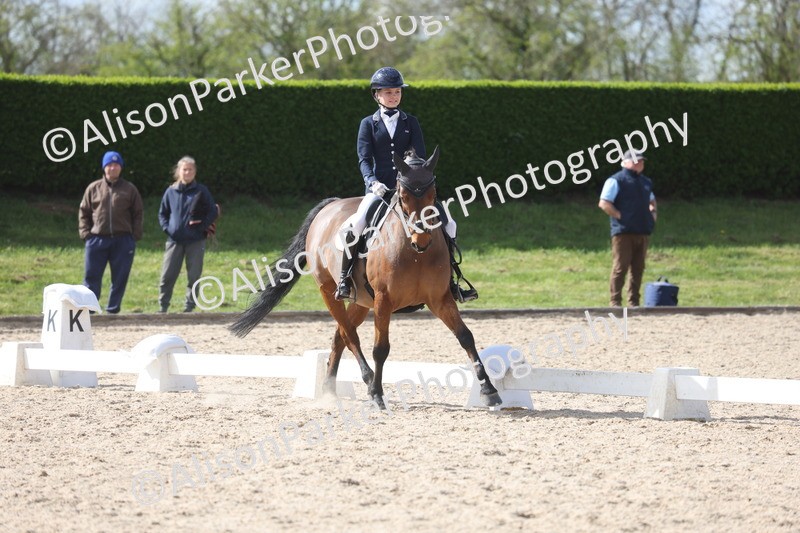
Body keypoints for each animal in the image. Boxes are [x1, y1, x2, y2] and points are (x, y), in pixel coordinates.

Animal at [229, 146, 502, 408]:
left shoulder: (440, 298)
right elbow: (380, 349)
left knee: (340, 336)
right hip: (328, 291)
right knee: (350, 336)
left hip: (360, 300)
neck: (414, 253)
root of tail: (330, 206)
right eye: (403, 196)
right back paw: (368, 381)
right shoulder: (384, 299)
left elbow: (466, 336)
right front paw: (377, 394)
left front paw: (490, 391)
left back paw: (329, 389)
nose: (421, 240)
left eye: (432, 194)